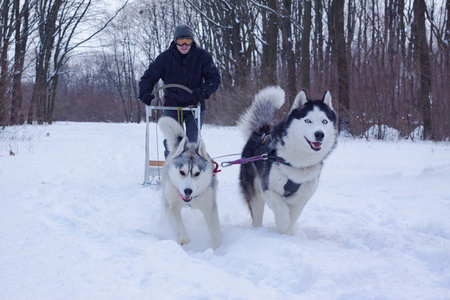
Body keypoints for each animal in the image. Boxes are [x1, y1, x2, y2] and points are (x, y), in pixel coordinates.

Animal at [158, 116, 221, 248]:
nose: (188, 191)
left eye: (197, 173)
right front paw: (183, 237)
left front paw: (220, 249)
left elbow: (216, 232)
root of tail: (187, 144)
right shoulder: (171, 204)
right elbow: (177, 222)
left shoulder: (209, 207)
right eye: (182, 172)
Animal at [239, 86, 338, 234]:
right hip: (255, 193)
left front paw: (286, 233)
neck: (297, 162)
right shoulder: (268, 188)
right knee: (256, 215)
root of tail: (260, 133)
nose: (320, 134)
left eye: (324, 121)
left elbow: (293, 217)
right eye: (307, 120)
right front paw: (282, 224)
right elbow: (282, 209)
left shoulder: (301, 199)